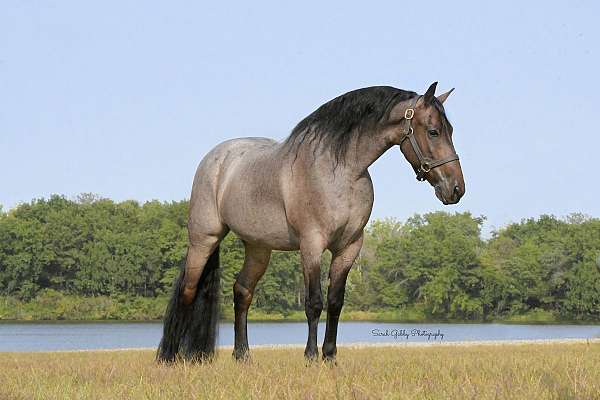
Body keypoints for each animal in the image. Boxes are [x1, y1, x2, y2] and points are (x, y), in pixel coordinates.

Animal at [155, 81, 464, 362]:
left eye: (450, 131)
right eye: (434, 131)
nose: (456, 189)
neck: (342, 171)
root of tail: (216, 159)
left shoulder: (349, 246)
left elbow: (335, 301)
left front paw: (330, 355)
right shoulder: (312, 244)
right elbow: (314, 302)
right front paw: (311, 356)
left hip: (258, 248)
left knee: (242, 292)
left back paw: (242, 355)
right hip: (204, 238)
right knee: (188, 291)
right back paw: (173, 356)